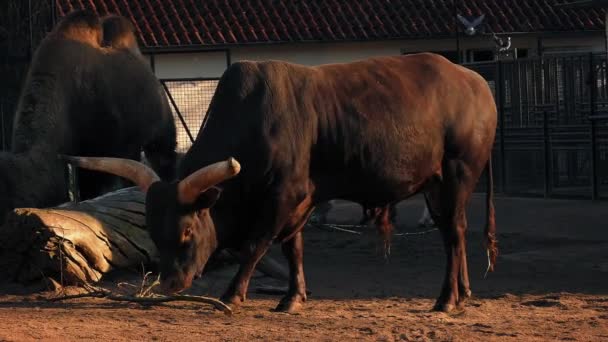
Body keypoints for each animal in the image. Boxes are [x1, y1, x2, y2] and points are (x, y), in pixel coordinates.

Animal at [61, 52, 498, 312]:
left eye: (186, 231)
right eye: (152, 230)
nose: (170, 283)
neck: (254, 119)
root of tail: (474, 81)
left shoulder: (284, 196)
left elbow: (257, 245)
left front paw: (233, 293)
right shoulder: (300, 201)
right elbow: (293, 249)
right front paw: (292, 297)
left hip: (457, 174)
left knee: (454, 233)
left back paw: (446, 299)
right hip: (437, 184)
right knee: (453, 232)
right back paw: (463, 291)